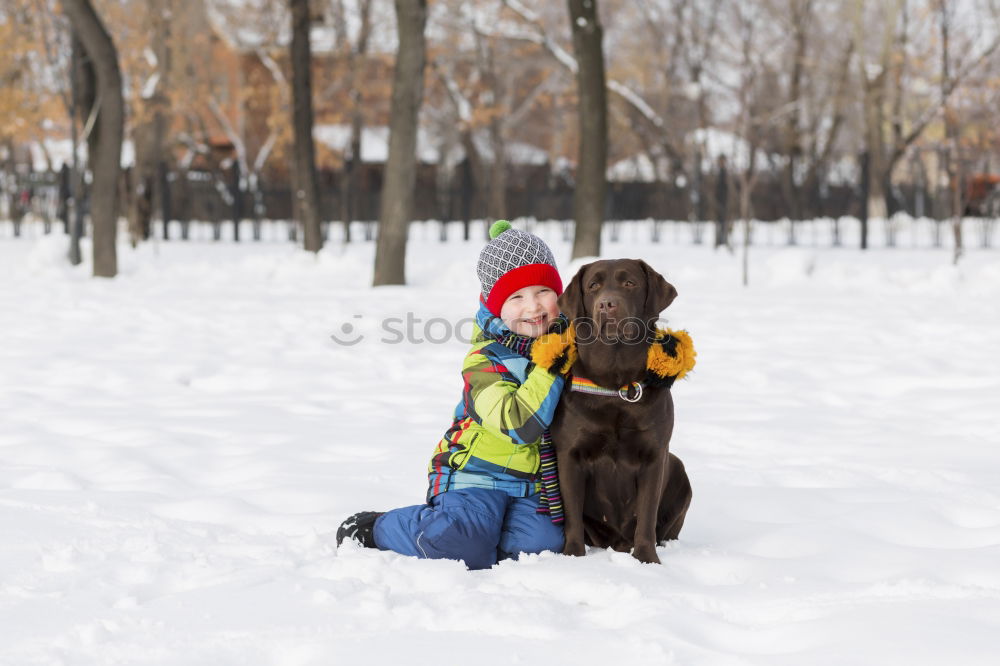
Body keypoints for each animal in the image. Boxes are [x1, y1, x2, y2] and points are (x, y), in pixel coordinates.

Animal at [552, 258, 692, 560]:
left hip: (677, 465)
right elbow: (572, 515)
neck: (615, 385)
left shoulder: (655, 455)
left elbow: (647, 515)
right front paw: (572, 556)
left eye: (630, 283)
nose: (607, 304)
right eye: (593, 286)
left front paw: (647, 559)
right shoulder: (569, 454)